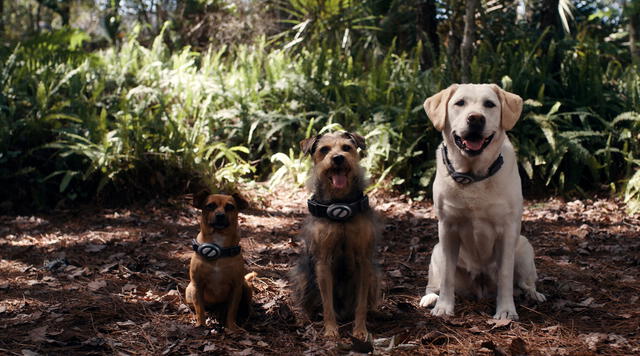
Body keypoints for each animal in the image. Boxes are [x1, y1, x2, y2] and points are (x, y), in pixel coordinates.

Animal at [186, 192, 251, 330]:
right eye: (210, 206)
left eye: (230, 207)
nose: (220, 215)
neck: (219, 248)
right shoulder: (197, 286)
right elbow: (200, 309)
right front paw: (201, 325)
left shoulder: (236, 288)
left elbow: (232, 310)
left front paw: (231, 327)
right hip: (189, 290)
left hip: (246, 287)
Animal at [292, 131, 380, 340]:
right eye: (324, 150)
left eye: (346, 147)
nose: (338, 158)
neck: (340, 205)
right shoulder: (323, 262)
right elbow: (327, 304)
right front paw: (331, 330)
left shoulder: (364, 262)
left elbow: (361, 304)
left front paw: (360, 330)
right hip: (303, 275)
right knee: (309, 302)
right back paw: (305, 319)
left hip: (373, 276)